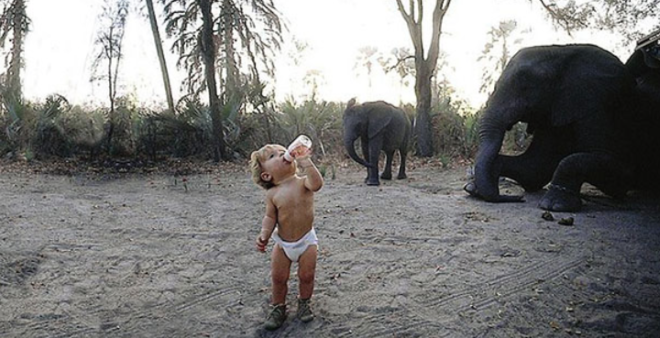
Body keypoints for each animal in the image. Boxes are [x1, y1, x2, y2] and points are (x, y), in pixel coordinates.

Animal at [464, 37, 660, 211]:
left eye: (525, 87)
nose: (516, 198)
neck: (562, 52)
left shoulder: (596, 103)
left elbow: (618, 171)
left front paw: (555, 206)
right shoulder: (556, 109)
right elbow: (534, 167)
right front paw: (474, 188)